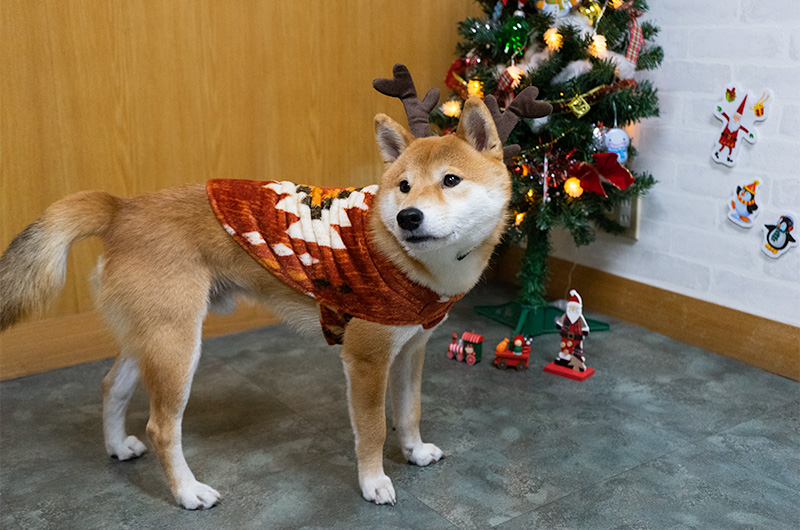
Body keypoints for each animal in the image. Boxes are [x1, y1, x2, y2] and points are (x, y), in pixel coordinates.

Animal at [0, 64, 552, 506]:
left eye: (451, 181)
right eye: (403, 187)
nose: (408, 218)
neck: (409, 258)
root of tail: (121, 209)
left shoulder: (412, 349)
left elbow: (410, 411)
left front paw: (414, 451)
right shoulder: (367, 360)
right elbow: (373, 429)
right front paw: (373, 482)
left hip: (151, 337)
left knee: (112, 387)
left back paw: (117, 446)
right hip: (177, 346)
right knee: (161, 428)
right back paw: (187, 492)